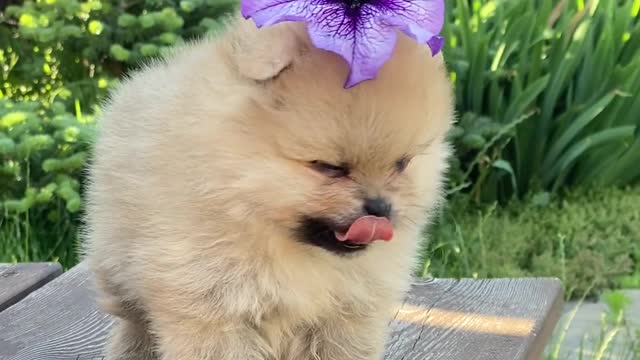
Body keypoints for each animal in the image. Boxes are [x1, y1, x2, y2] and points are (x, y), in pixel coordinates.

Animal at [81, 12, 456, 360]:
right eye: (329, 167)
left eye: (402, 164)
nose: (379, 208)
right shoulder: (212, 307)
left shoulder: (347, 314)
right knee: (135, 322)